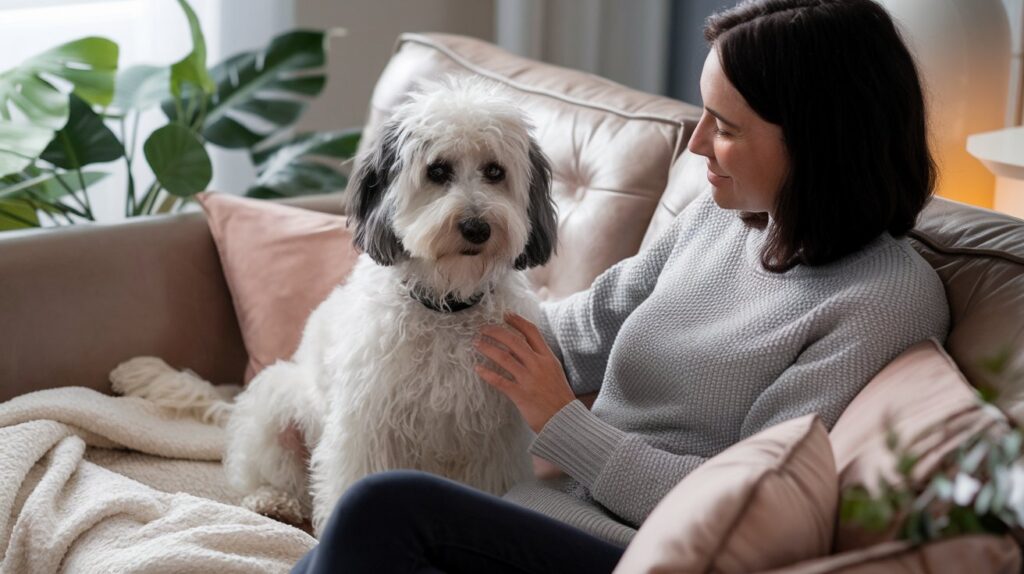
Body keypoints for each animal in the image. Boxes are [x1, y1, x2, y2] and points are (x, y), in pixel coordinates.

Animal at [111, 75, 557, 532]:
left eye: (494, 172)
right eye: (437, 171)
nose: (476, 227)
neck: (445, 304)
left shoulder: (493, 437)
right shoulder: (368, 423)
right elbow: (354, 475)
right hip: (278, 406)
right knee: (279, 478)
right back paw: (273, 502)